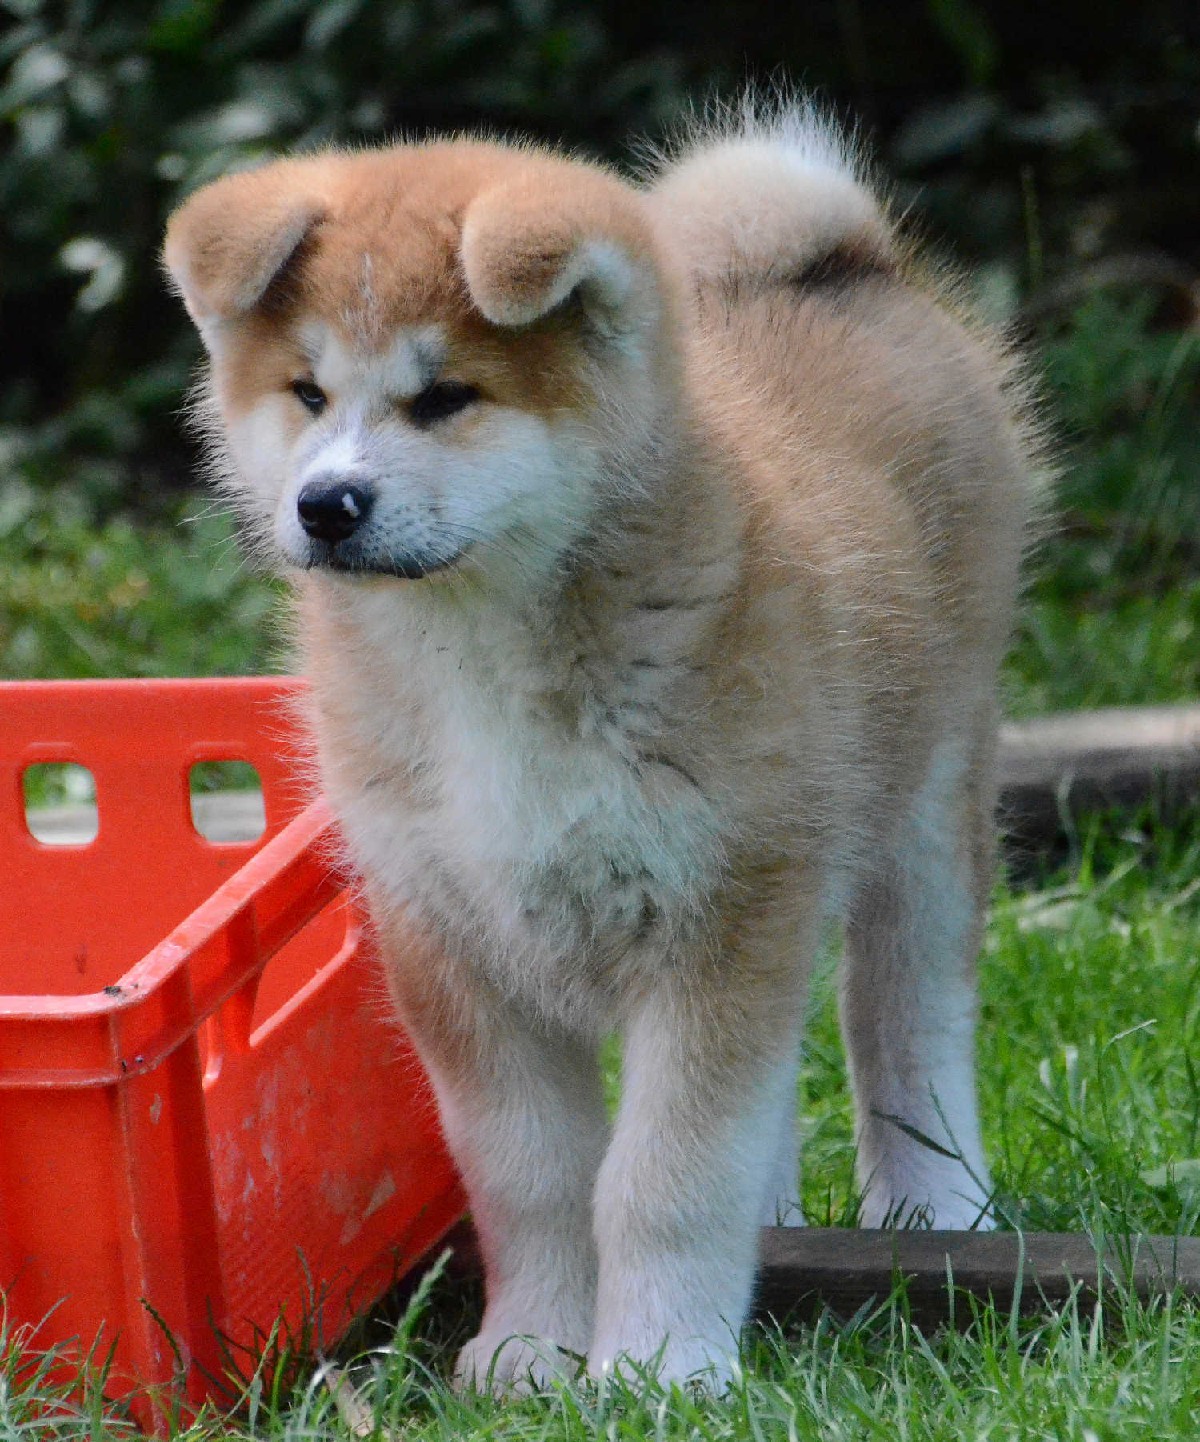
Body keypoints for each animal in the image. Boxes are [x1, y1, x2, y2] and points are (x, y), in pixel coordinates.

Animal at [164, 100, 1034, 1391]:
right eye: (307, 393)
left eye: (446, 398)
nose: (328, 504)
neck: (480, 651)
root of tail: (848, 261)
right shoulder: (452, 937)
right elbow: (533, 1174)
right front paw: (532, 1349)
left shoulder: (718, 910)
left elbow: (666, 1172)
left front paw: (663, 1364)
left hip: (923, 808)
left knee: (907, 1021)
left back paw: (938, 1212)